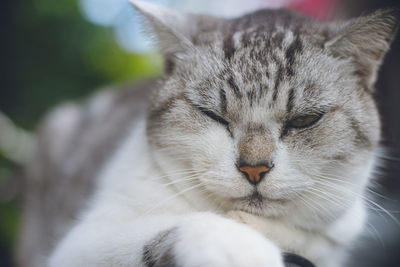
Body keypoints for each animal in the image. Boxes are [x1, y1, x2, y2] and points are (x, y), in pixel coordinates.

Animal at [19, 0, 400, 267]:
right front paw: (241, 247)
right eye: (213, 115)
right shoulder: (82, 242)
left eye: (304, 120)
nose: (254, 168)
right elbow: (179, 225)